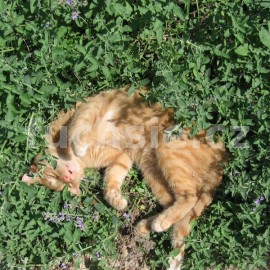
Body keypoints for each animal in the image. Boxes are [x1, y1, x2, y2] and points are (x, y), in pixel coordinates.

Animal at [22, 86, 227, 268]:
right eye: (61, 187)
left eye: (52, 176)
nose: (69, 183)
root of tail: (223, 156)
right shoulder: (122, 157)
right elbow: (110, 183)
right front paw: (117, 202)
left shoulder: (92, 108)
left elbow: (77, 128)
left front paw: (78, 145)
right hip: (155, 172)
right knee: (178, 206)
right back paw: (149, 225)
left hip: (168, 153)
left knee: (190, 197)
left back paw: (158, 224)